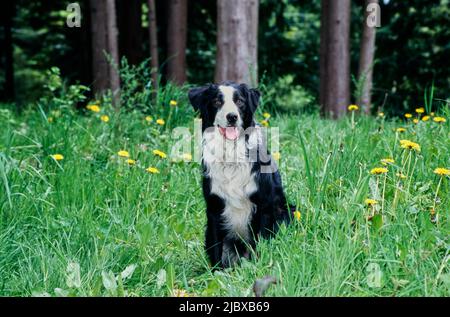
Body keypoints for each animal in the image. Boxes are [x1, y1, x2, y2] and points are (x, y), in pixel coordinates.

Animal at [188, 81, 294, 266]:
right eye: (217, 102)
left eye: (240, 102)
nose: (232, 117)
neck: (232, 156)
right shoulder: (214, 207)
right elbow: (216, 247)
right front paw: (216, 271)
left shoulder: (264, 205)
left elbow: (261, 241)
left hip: (286, 211)